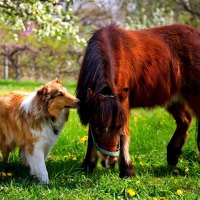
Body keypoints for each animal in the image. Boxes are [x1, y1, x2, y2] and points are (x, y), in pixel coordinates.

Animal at [76, 24, 200, 177]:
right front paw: (88, 165)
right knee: (185, 119)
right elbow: (91, 137)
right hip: (173, 99)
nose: (110, 162)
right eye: (98, 127)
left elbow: (124, 134)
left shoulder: (123, 103)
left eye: (117, 127)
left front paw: (127, 170)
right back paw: (173, 154)